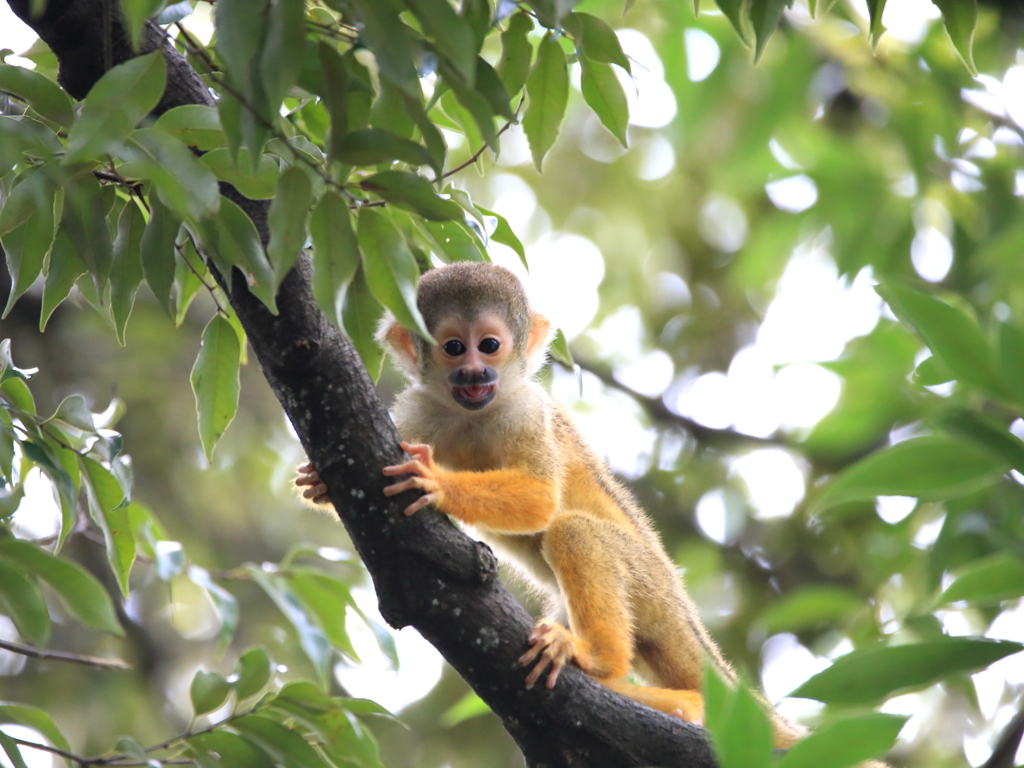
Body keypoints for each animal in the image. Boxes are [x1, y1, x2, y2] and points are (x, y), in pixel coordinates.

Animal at [299, 262, 806, 749]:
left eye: (489, 346)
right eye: (454, 348)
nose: (475, 373)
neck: (474, 414)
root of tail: (684, 610)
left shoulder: (526, 408)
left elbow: (542, 498)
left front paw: (436, 482)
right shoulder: (418, 412)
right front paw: (322, 482)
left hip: (648, 581)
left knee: (574, 530)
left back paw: (601, 660)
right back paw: (674, 702)